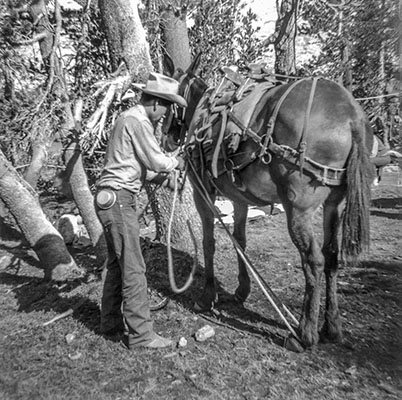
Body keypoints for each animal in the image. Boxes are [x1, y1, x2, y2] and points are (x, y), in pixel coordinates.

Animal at [164, 55, 374, 346]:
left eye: (168, 99)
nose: (166, 137)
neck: (203, 113)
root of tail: (352, 117)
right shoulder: (239, 199)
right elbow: (240, 241)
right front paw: (242, 290)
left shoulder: (201, 193)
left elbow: (209, 243)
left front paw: (207, 297)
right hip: (335, 204)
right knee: (332, 257)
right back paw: (331, 326)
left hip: (298, 209)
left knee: (314, 260)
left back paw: (305, 332)